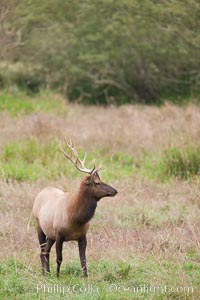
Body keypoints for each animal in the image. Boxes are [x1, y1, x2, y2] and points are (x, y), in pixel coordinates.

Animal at [32, 139, 117, 278]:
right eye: (97, 182)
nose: (115, 190)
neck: (76, 218)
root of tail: (41, 192)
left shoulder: (82, 236)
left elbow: (83, 259)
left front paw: (85, 277)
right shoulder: (59, 233)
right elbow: (59, 258)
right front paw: (58, 276)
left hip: (50, 234)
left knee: (46, 251)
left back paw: (47, 272)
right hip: (39, 225)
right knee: (42, 250)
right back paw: (44, 273)